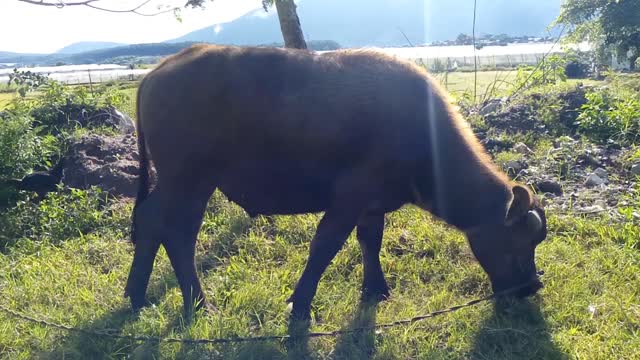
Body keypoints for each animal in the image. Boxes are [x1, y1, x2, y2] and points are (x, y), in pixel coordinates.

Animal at [126, 44, 552, 318]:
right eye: (518, 240)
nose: (531, 287)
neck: (421, 133)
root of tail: (158, 72)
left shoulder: (373, 204)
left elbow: (370, 241)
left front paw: (376, 290)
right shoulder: (349, 198)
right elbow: (325, 246)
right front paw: (299, 304)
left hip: (185, 182)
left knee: (151, 223)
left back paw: (137, 296)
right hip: (189, 179)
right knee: (176, 232)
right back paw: (198, 303)